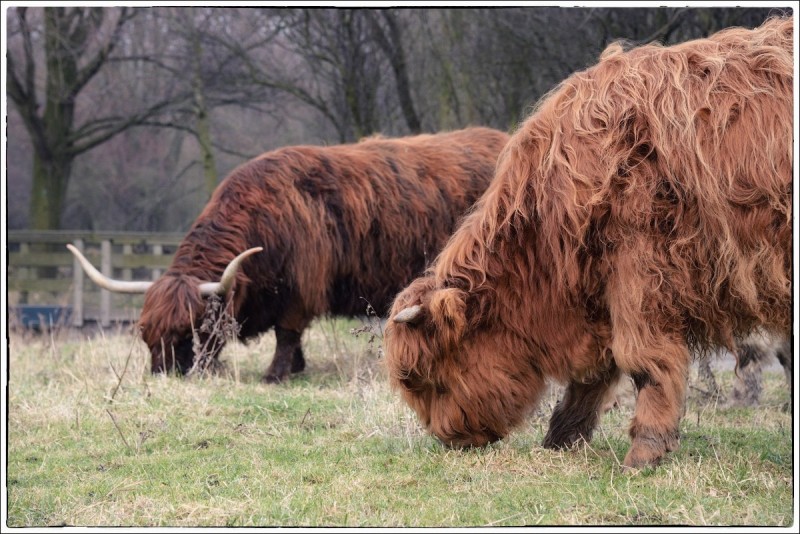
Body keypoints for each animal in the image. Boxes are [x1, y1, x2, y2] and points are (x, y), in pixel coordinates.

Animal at [67, 127, 506, 384]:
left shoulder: (300, 286)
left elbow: (286, 333)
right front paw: (296, 366)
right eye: (146, 334)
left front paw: (276, 374)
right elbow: (292, 339)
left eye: (188, 331)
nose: (164, 375)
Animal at [384, 16, 792, 472]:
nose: (449, 439)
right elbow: (595, 373)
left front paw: (645, 451)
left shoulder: (640, 270)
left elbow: (642, 360)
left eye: (432, 379)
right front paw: (561, 437)